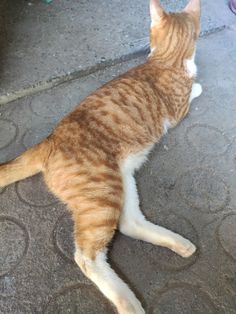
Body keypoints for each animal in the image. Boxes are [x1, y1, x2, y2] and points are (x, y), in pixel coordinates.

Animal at [0, 1, 203, 312]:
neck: (167, 60)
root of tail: (49, 140)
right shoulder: (179, 109)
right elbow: (195, 89)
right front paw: (198, 84)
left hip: (121, 181)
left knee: (129, 223)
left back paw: (179, 245)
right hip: (101, 195)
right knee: (87, 256)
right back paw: (128, 302)